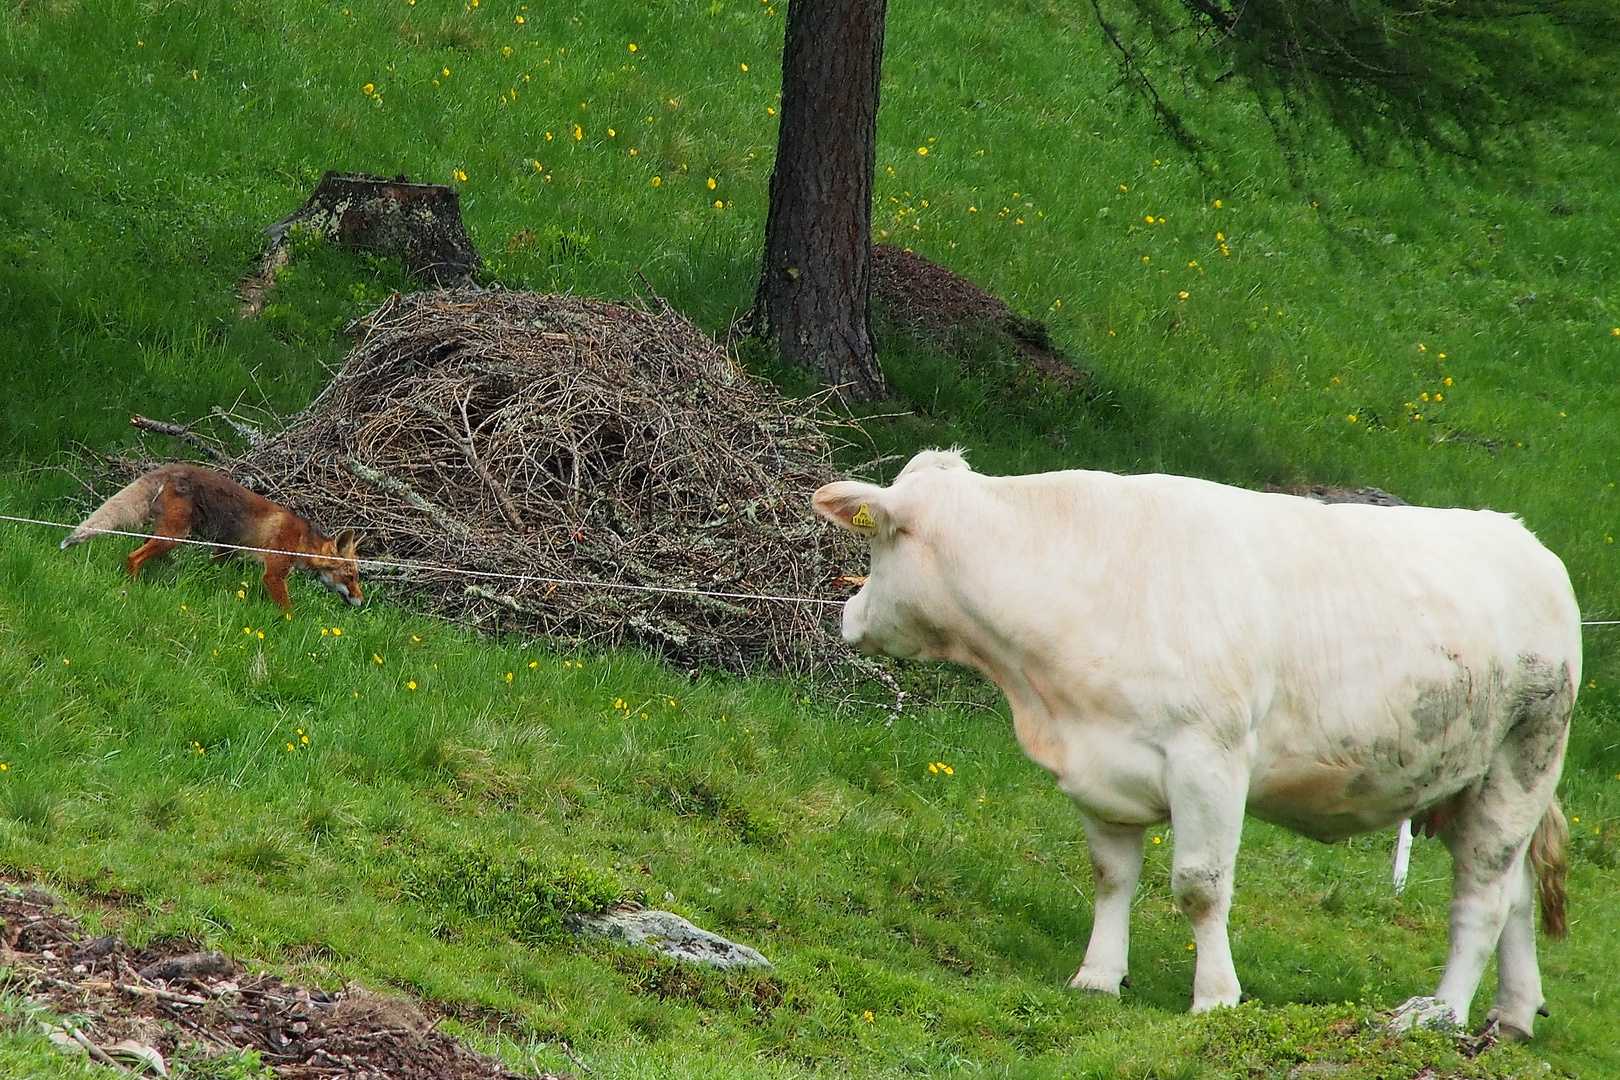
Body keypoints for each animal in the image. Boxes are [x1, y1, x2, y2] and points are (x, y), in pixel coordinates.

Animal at [61, 466, 362, 612]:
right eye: (351, 576)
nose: (362, 600)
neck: (302, 542)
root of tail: (173, 467)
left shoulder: (226, 550)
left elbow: (213, 568)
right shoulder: (274, 573)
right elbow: (288, 610)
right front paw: (292, 624)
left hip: (166, 533)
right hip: (175, 536)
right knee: (133, 557)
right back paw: (131, 587)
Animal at [816, 450, 1574, 1036]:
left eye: (876, 544)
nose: (847, 613)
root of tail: (1526, 540)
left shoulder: (1209, 758)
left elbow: (1199, 887)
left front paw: (1215, 997)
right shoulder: (1101, 766)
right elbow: (1111, 874)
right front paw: (1098, 975)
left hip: (1526, 755)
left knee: (1482, 897)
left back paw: (1438, 1013)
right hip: (1476, 781)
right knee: (1514, 894)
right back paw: (1512, 1014)